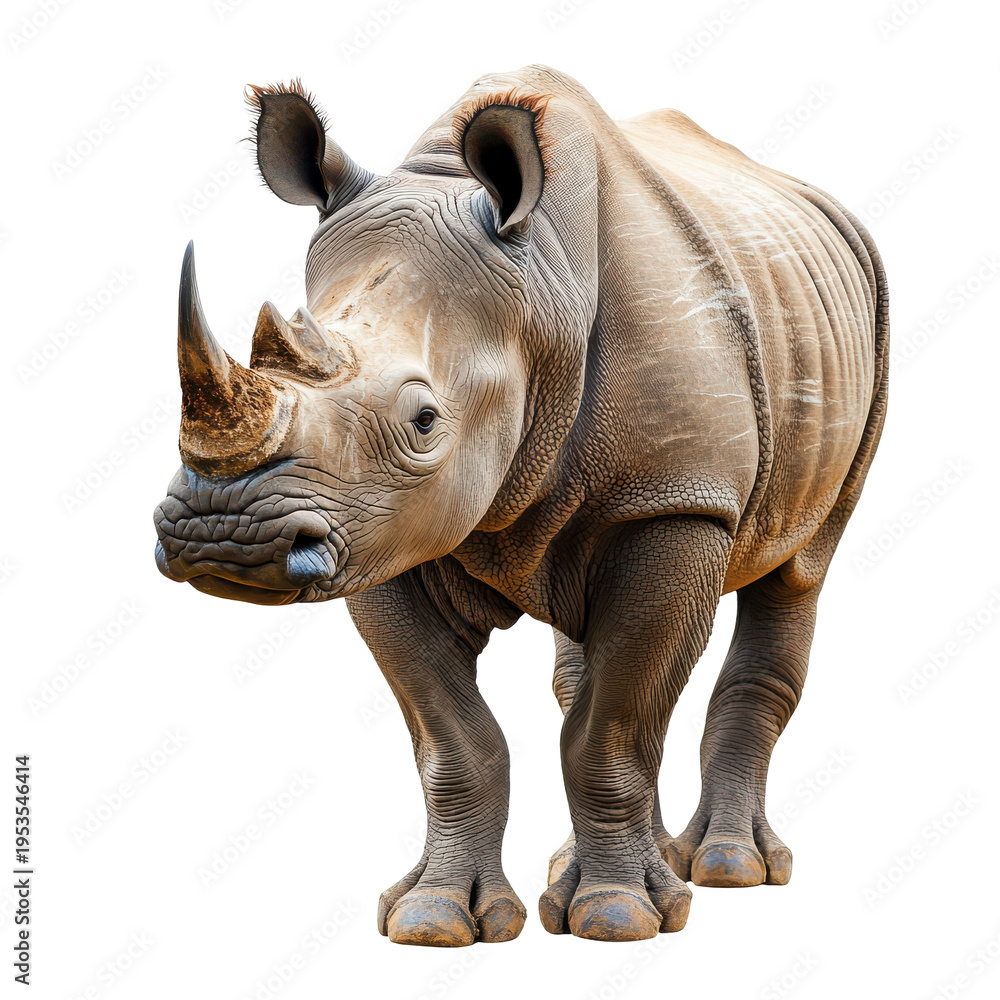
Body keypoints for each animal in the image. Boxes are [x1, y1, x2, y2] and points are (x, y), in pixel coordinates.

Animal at [153, 64, 888, 946]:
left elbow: (612, 731)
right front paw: (433, 919)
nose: (221, 537)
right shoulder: (379, 529)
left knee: (798, 572)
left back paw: (725, 870)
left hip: (863, 333)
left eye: (424, 421)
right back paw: (614, 868)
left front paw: (617, 919)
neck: (542, 299)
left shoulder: (675, 504)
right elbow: (454, 739)